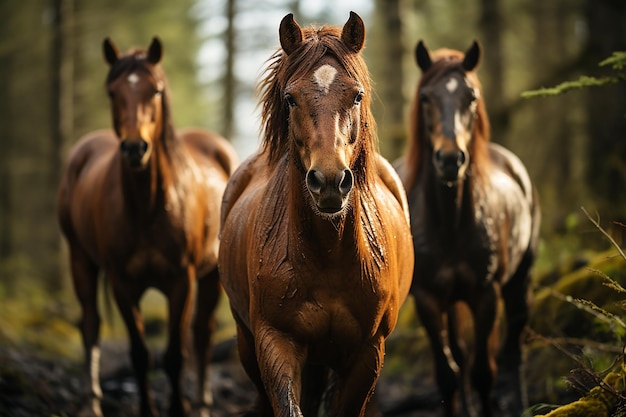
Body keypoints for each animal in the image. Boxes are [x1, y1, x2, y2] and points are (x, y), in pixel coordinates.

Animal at [56, 36, 238, 416]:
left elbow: (175, 354)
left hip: (212, 273)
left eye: (155, 90)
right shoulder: (123, 284)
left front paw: (180, 408)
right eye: (112, 92)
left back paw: (202, 404)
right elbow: (140, 355)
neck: (149, 206)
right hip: (80, 259)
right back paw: (92, 402)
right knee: (90, 324)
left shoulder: (181, 281)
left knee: (203, 335)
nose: (135, 148)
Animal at [217, 11, 412, 416]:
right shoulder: (275, 341)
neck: (329, 257)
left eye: (357, 95)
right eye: (290, 99)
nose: (329, 181)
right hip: (247, 343)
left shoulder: (367, 353)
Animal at [392, 39, 540, 416]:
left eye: (471, 97)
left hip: (519, 281)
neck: (449, 223)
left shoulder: (485, 295)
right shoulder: (428, 299)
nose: (449, 159)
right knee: (459, 355)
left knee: (513, 349)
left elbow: (483, 373)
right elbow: (449, 374)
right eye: (425, 97)